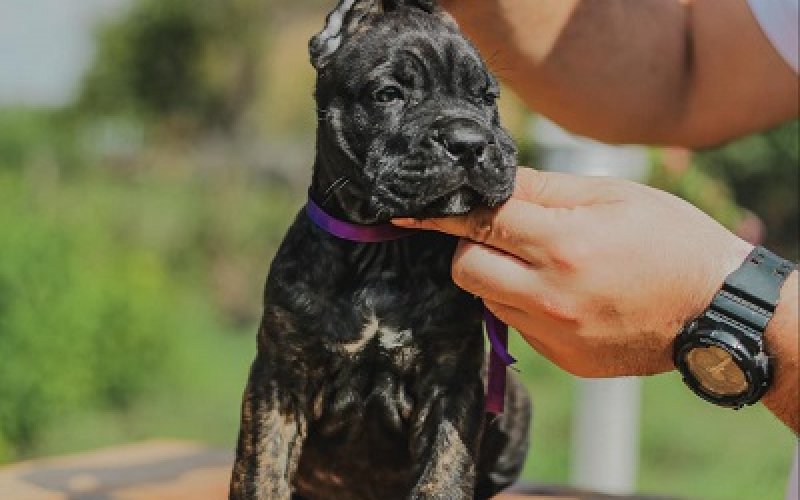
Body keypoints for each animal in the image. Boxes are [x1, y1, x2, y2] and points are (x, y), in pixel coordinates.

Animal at [228, 1, 532, 498]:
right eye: (388, 94)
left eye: (487, 98)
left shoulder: (451, 382)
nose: (469, 142)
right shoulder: (278, 380)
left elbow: (445, 473)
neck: (381, 251)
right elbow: (261, 469)